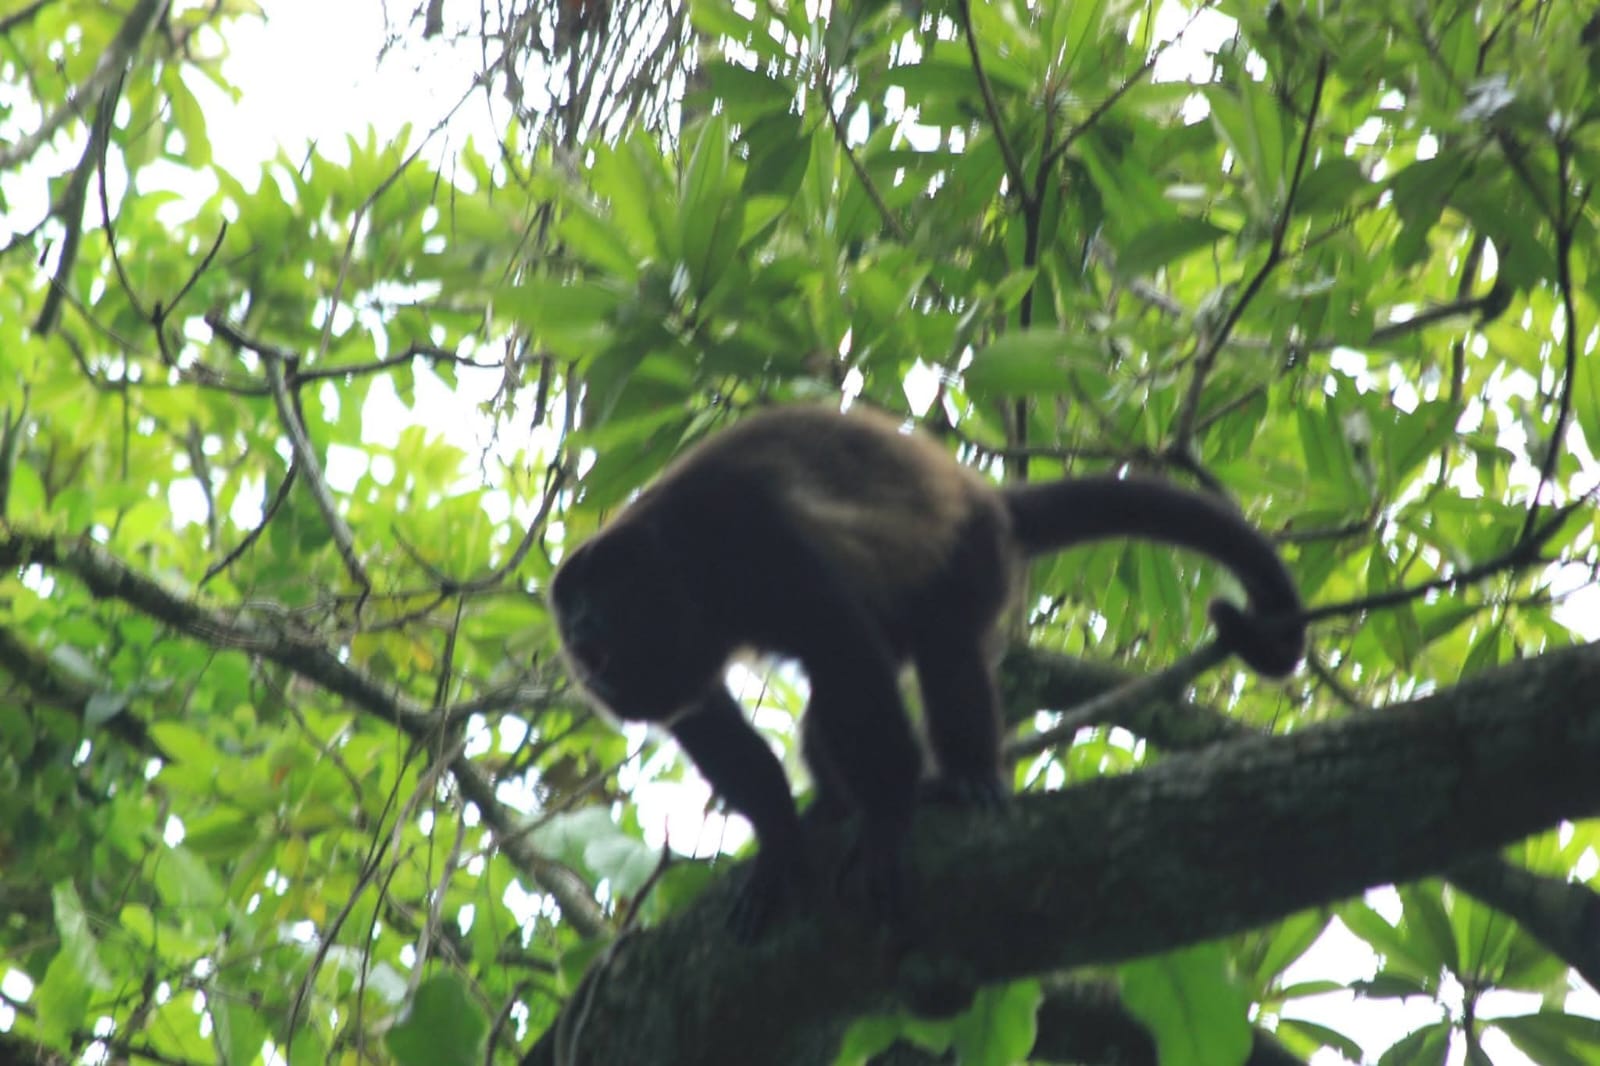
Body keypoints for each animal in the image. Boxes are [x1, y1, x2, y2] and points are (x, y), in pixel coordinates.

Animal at [548, 405, 1305, 938]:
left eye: (594, 597)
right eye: (567, 607)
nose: (574, 629)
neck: (673, 561)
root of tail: (988, 499)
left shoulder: (746, 534)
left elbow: (839, 643)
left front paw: (886, 822)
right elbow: (710, 720)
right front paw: (779, 841)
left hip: (969, 556)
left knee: (943, 652)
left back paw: (967, 777)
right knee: (832, 709)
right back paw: (833, 806)